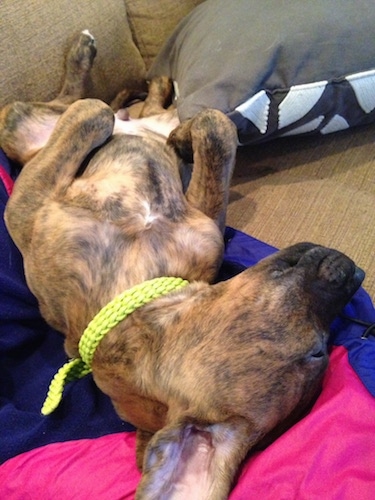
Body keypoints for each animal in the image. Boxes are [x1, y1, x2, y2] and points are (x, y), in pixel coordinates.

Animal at [0, 32, 364, 500]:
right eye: (318, 350)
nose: (356, 274)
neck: (139, 290)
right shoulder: (204, 227)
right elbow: (213, 127)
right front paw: (178, 138)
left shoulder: (30, 200)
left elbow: (121, 117)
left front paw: (178, 136)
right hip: (24, 128)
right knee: (102, 106)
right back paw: (139, 91)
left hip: (21, 127)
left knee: (82, 105)